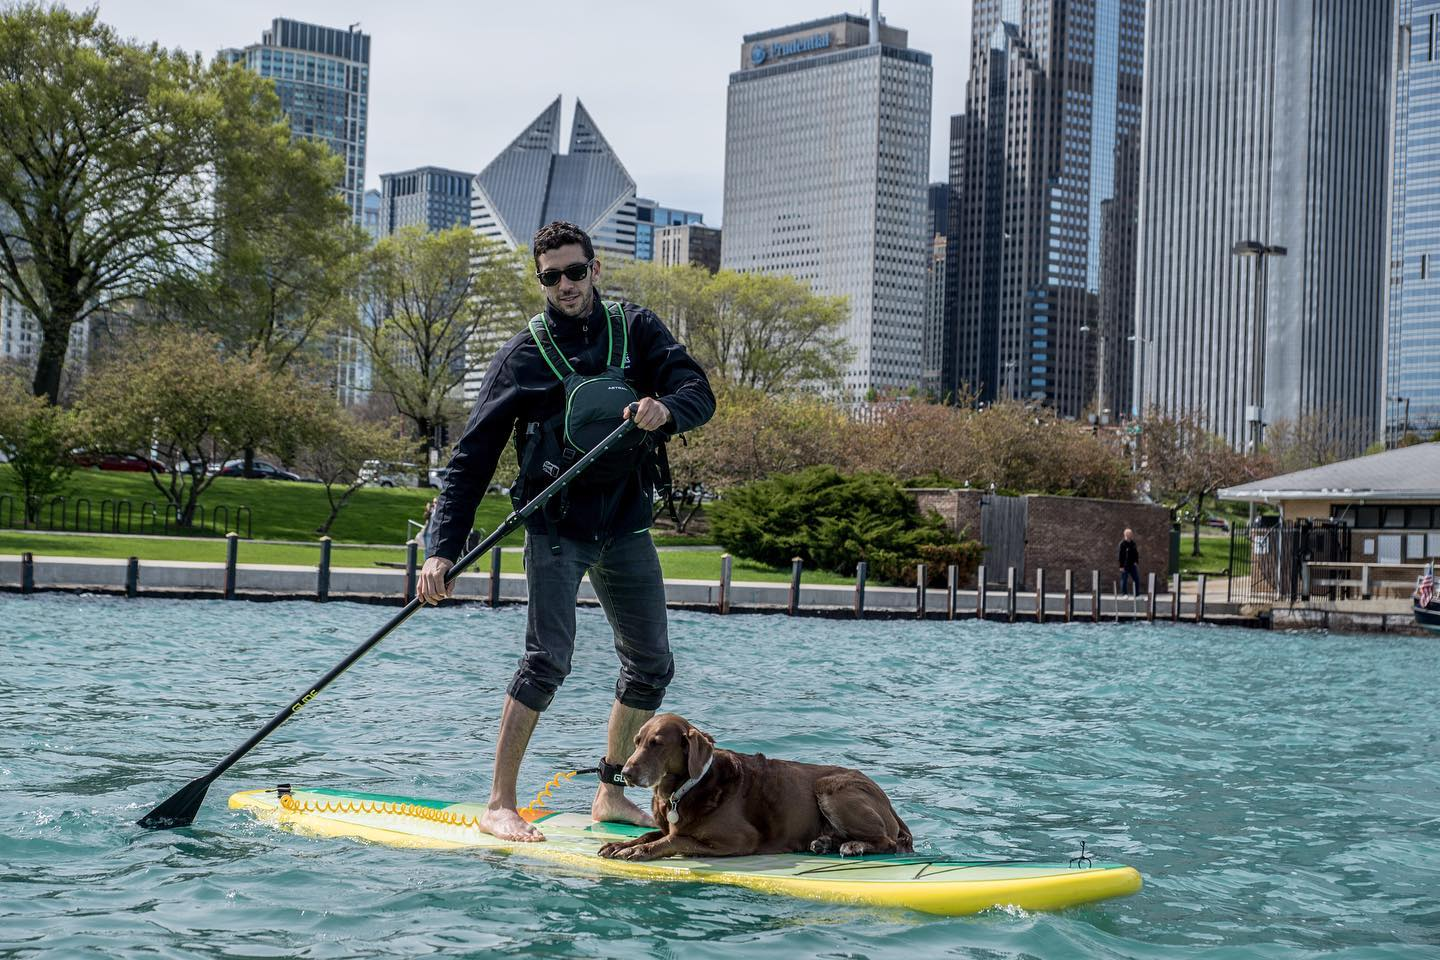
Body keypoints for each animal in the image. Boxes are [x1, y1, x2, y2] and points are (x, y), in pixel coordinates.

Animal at [593, 713, 910, 863]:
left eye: (657, 744)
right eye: (636, 741)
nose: (626, 773)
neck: (684, 789)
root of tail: (888, 802)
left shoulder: (740, 840)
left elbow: (677, 839)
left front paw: (640, 851)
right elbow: (650, 833)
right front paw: (620, 844)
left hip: (831, 788)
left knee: (888, 841)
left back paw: (854, 845)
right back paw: (824, 843)